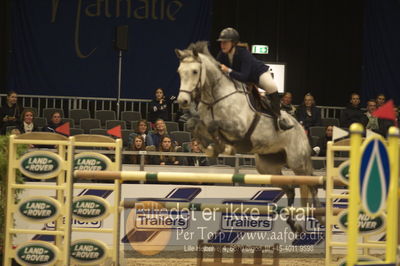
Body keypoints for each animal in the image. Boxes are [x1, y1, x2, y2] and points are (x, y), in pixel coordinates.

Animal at [175, 42, 318, 233]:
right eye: (179, 71)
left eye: (194, 71)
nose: (182, 101)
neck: (215, 96)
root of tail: (302, 130)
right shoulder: (204, 123)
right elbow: (194, 124)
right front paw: (211, 148)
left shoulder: (239, 128)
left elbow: (215, 128)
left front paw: (223, 147)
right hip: (267, 168)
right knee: (290, 189)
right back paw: (295, 225)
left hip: (298, 162)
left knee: (312, 184)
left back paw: (317, 216)